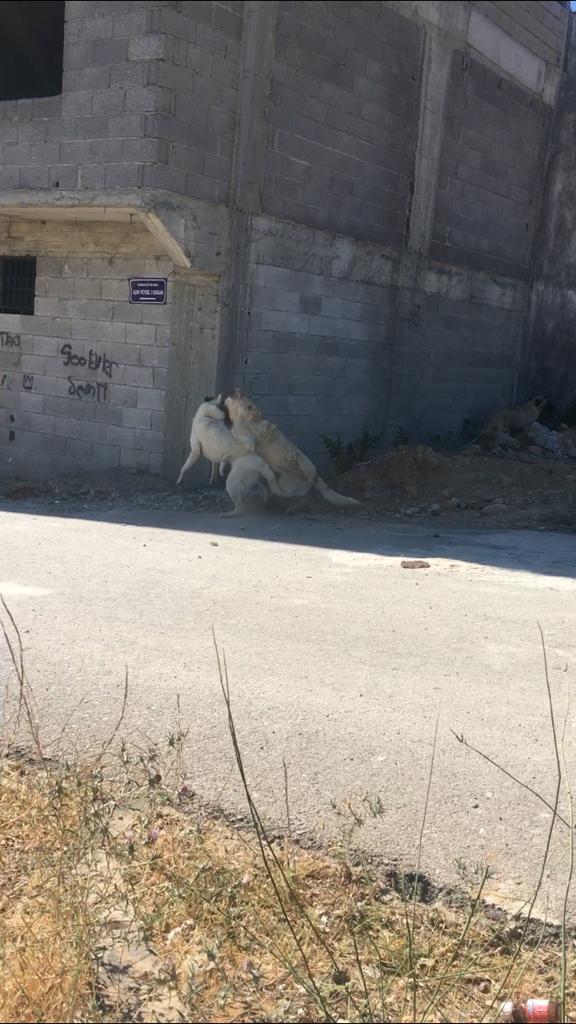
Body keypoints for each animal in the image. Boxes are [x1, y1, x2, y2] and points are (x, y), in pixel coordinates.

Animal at [224, 387, 358, 507]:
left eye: (242, 394)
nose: (236, 388)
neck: (244, 416)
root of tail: (316, 476)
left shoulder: (247, 438)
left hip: (291, 475)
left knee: (298, 493)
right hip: (285, 480)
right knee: (300, 495)